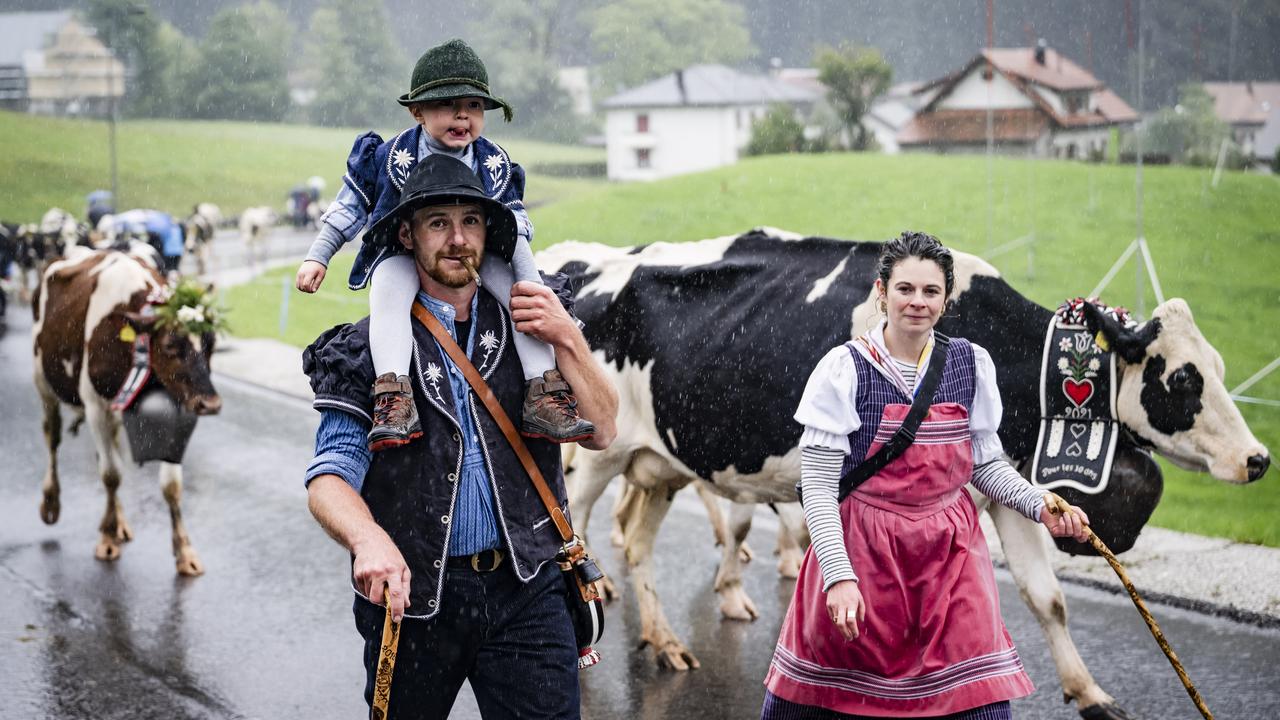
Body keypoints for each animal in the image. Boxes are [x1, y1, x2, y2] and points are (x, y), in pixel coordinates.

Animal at [33, 243, 222, 573]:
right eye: (171, 346)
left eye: (210, 343)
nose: (209, 403)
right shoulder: (95, 405)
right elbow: (111, 474)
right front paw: (107, 540)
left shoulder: (177, 405)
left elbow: (171, 484)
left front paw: (184, 551)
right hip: (44, 381)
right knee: (52, 437)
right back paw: (51, 503)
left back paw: (119, 521)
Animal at [532, 228, 1269, 717]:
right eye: (1184, 378)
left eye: (1221, 368)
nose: (1259, 458)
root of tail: (590, 271)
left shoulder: (1001, 476)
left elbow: (1047, 597)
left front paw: (1090, 693)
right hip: (596, 453)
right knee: (586, 530)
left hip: (660, 462)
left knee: (640, 540)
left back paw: (664, 641)